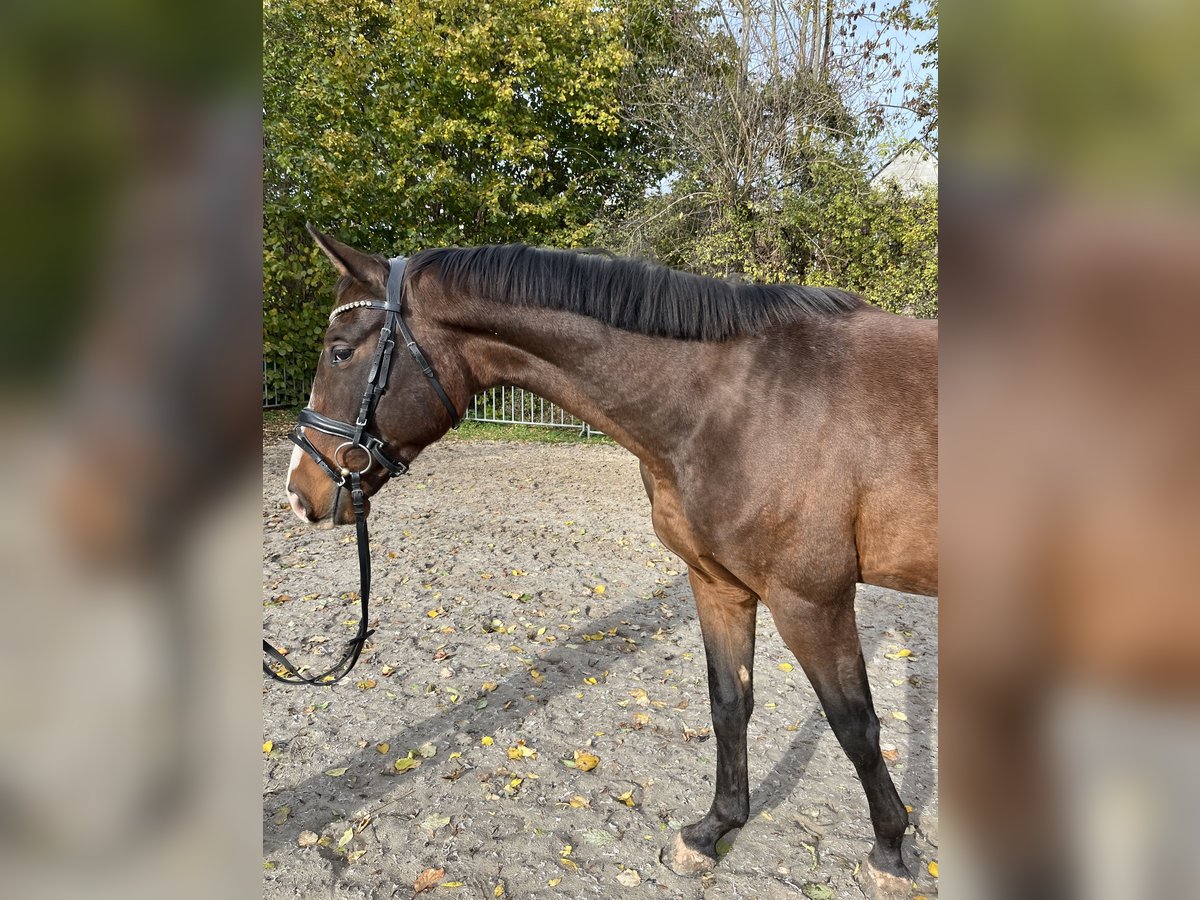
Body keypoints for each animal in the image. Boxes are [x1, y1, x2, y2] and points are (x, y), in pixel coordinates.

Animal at [285, 226, 938, 896]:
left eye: (340, 352)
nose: (299, 492)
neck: (740, 404)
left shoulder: (813, 601)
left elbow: (856, 726)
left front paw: (890, 853)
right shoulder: (718, 585)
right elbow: (730, 704)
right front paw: (712, 831)